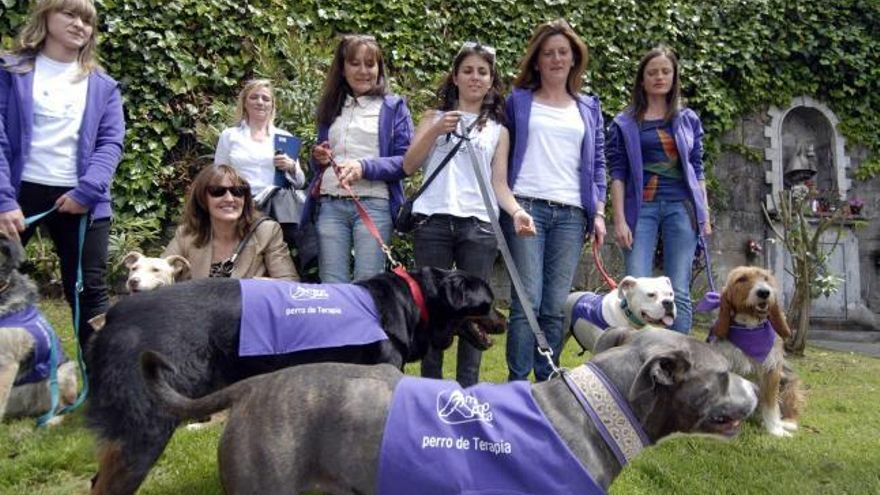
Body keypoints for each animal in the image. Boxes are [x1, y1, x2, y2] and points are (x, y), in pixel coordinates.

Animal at [708, 268, 804, 438]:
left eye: (765, 278)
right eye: (741, 279)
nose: (764, 292)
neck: (750, 328)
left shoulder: (771, 371)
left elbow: (771, 405)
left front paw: (775, 430)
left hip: (788, 384)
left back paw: (787, 423)